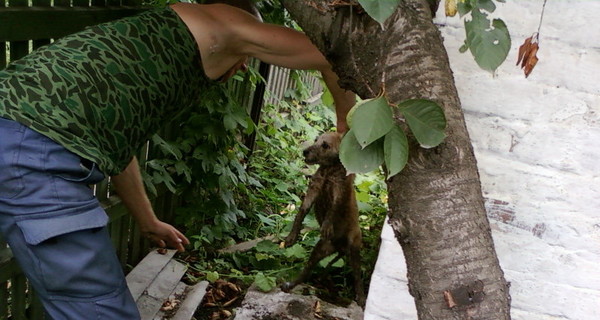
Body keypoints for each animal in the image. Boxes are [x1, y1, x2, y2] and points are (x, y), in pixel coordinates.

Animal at [282, 131, 366, 306]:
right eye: (315, 140)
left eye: (325, 145)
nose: (305, 152)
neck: (329, 171)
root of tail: (340, 247)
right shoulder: (314, 189)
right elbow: (301, 212)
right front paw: (292, 236)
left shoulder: (338, 193)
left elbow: (331, 212)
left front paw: (326, 226)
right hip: (320, 249)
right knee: (307, 270)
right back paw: (291, 284)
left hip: (354, 247)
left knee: (357, 277)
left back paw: (361, 298)